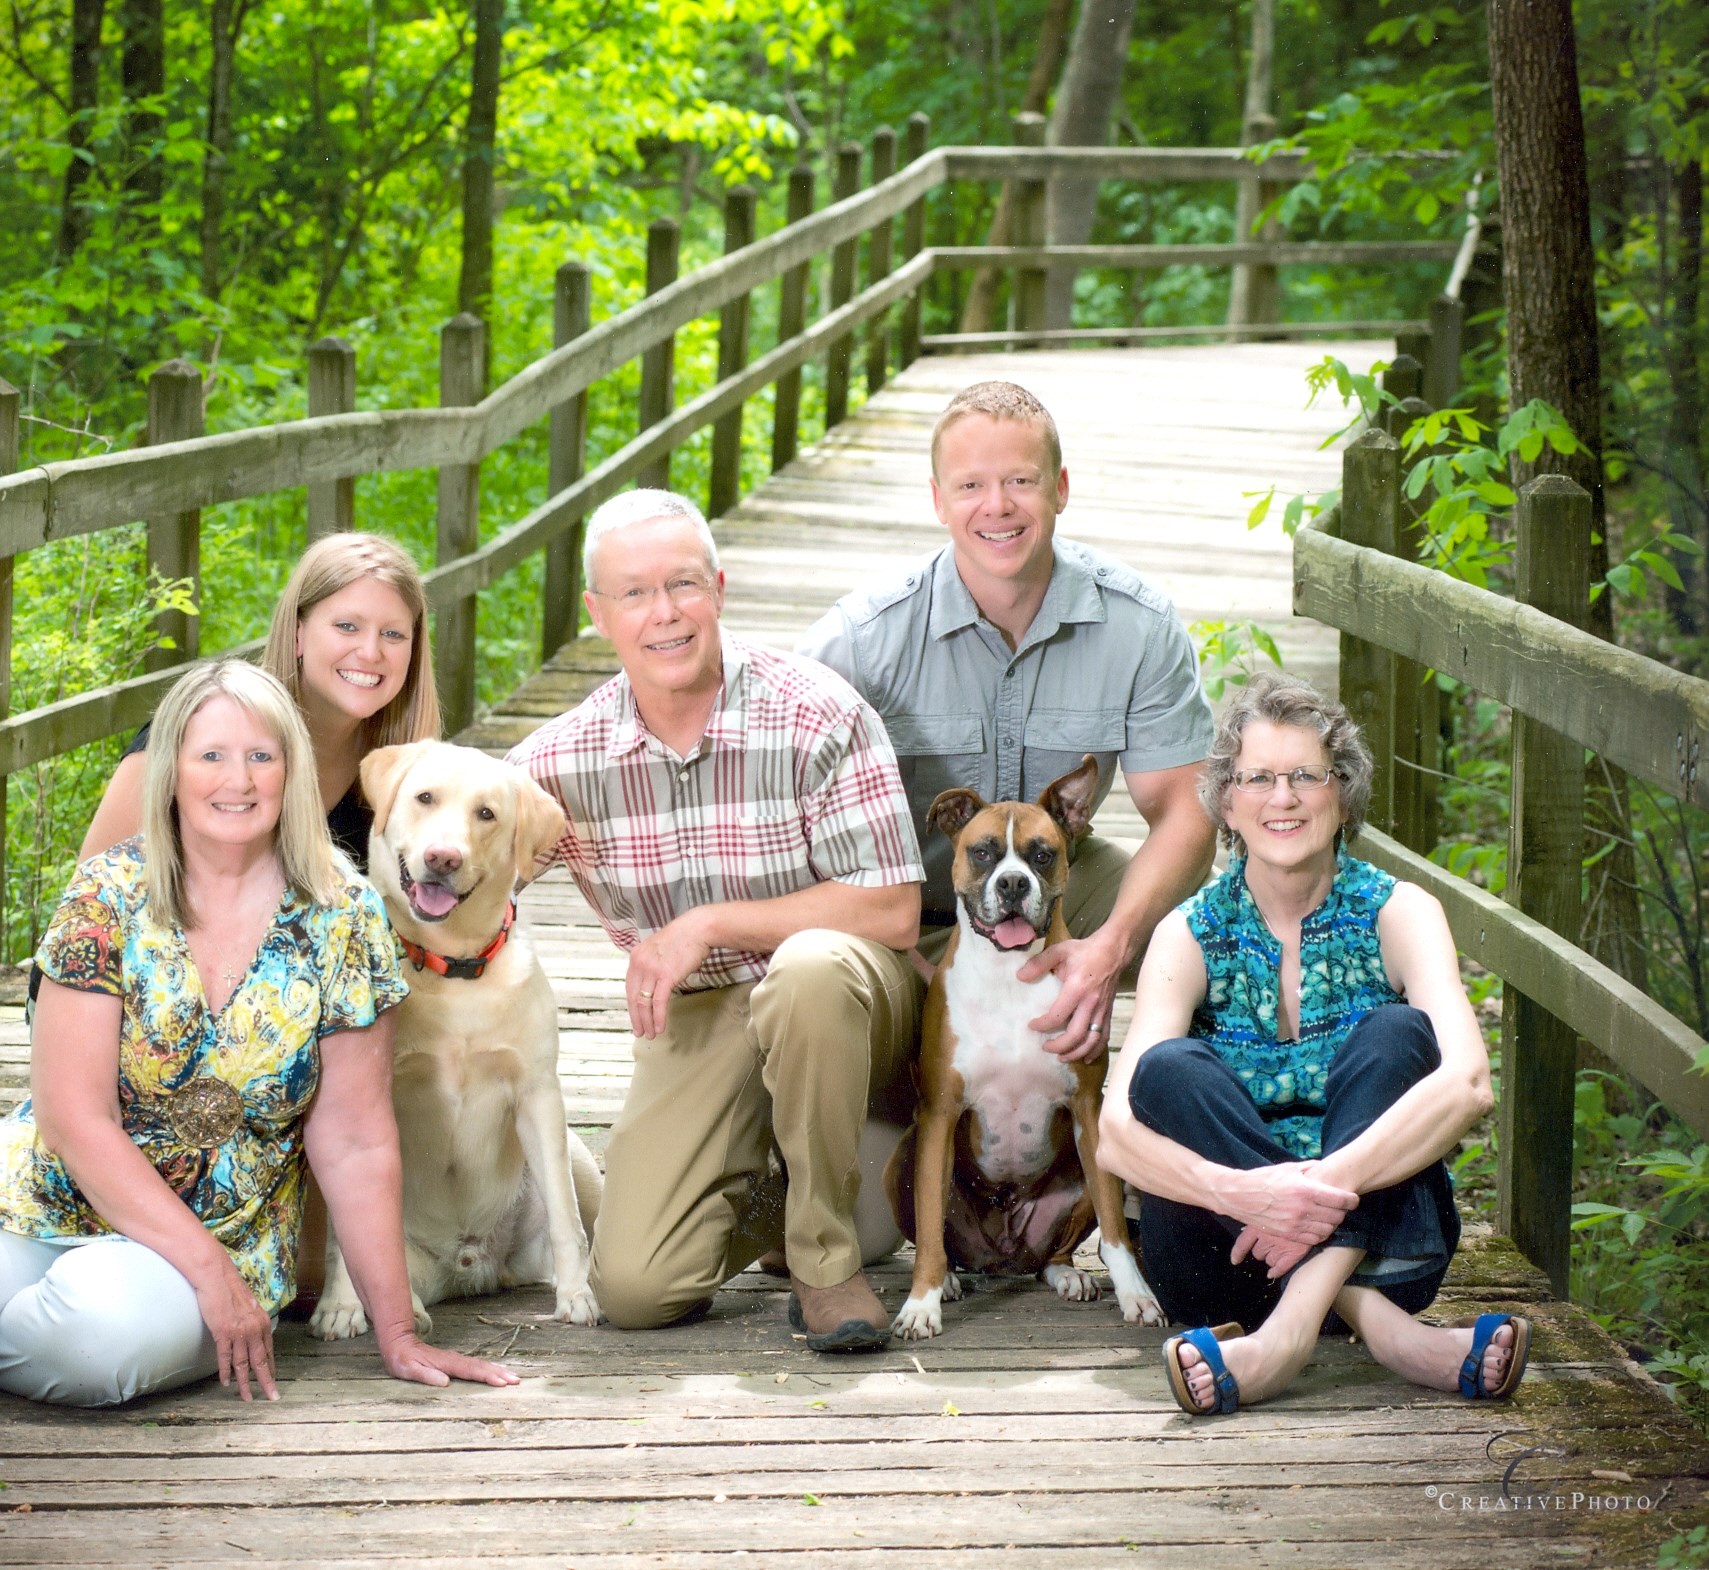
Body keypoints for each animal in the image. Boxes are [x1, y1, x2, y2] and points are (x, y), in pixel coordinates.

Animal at [311, 741, 604, 1339]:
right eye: (425, 798)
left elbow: (566, 1218)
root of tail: (476, 1267)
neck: (452, 967)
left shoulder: (539, 1096)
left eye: (486, 813)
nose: (443, 858)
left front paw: (577, 1296)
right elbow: (345, 1231)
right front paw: (340, 1306)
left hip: (580, 1158)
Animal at [888, 761, 1155, 1339]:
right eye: (984, 852)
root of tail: (1003, 1253)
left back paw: (1068, 1276)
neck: (1008, 973)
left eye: (1042, 854)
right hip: (905, 1160)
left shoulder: (1088, 1111)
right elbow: (929, 1227)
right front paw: (920, 1304)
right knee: (940, 1238)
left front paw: (1136, 1295)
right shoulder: (940, 1114)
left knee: (1051, 1255)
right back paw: (948, 1281)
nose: (1013, 882)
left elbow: (1116, 1228)